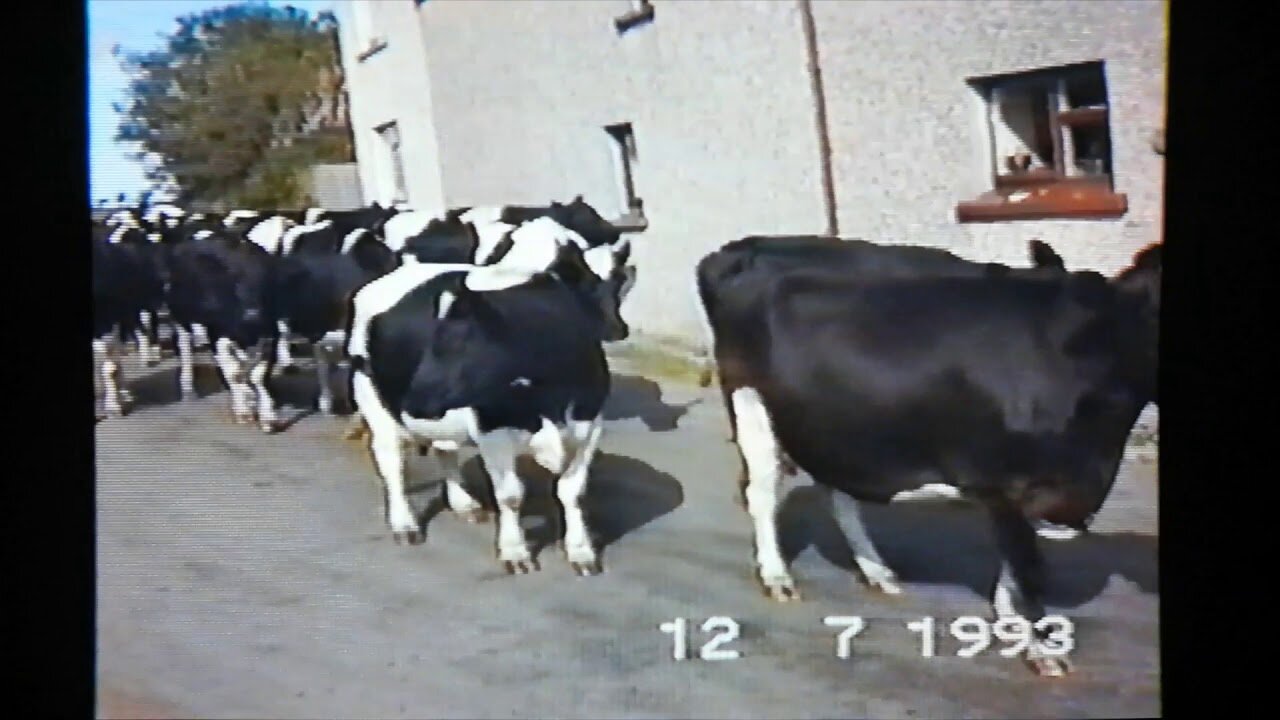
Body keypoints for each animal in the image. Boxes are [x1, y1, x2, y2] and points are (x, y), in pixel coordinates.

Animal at [345, 240, 629, 571]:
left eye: (617, 282)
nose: (412, 401)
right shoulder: (494, 430)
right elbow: (510, 495)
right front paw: (515, 552)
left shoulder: (590, 423)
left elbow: (572, 491)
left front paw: (580, 552)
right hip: (370, 393)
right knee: (391, 462)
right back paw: (405, 525)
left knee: (445, 449)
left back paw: (463, 504)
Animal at [696, 239, 1167, 671]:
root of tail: (741, 248)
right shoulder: (1004, 482)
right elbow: (1027, 569)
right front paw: (1039, 649)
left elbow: (1016, 568)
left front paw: (1009, 617)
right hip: (750, 402)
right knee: (762, 493)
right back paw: (777, 576)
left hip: (834, 423)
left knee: (839, 494)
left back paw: (877, 571)